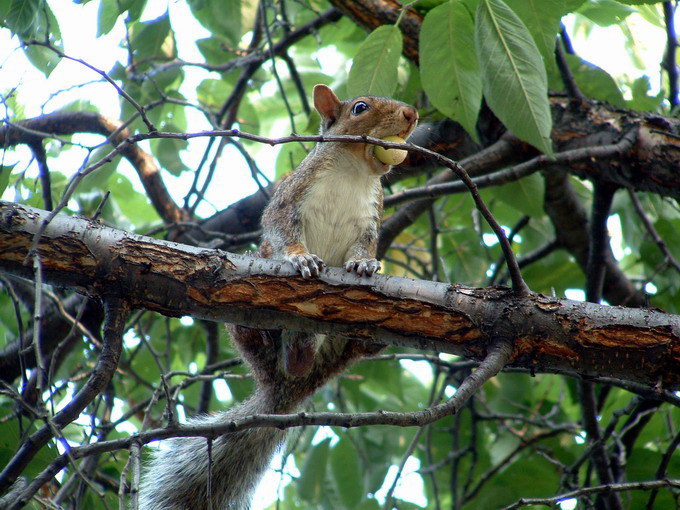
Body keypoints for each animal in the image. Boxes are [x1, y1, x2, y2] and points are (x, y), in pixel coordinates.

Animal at [139, 84, 418, 510]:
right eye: (359, 108)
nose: (412, 114)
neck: (352, 173)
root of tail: (289, 386)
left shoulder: (371, 219)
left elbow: (364, 247)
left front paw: (367, 265)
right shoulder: (290, 196)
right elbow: (281, 229)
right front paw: (302, 258)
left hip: (342, 349)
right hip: (251, 332)